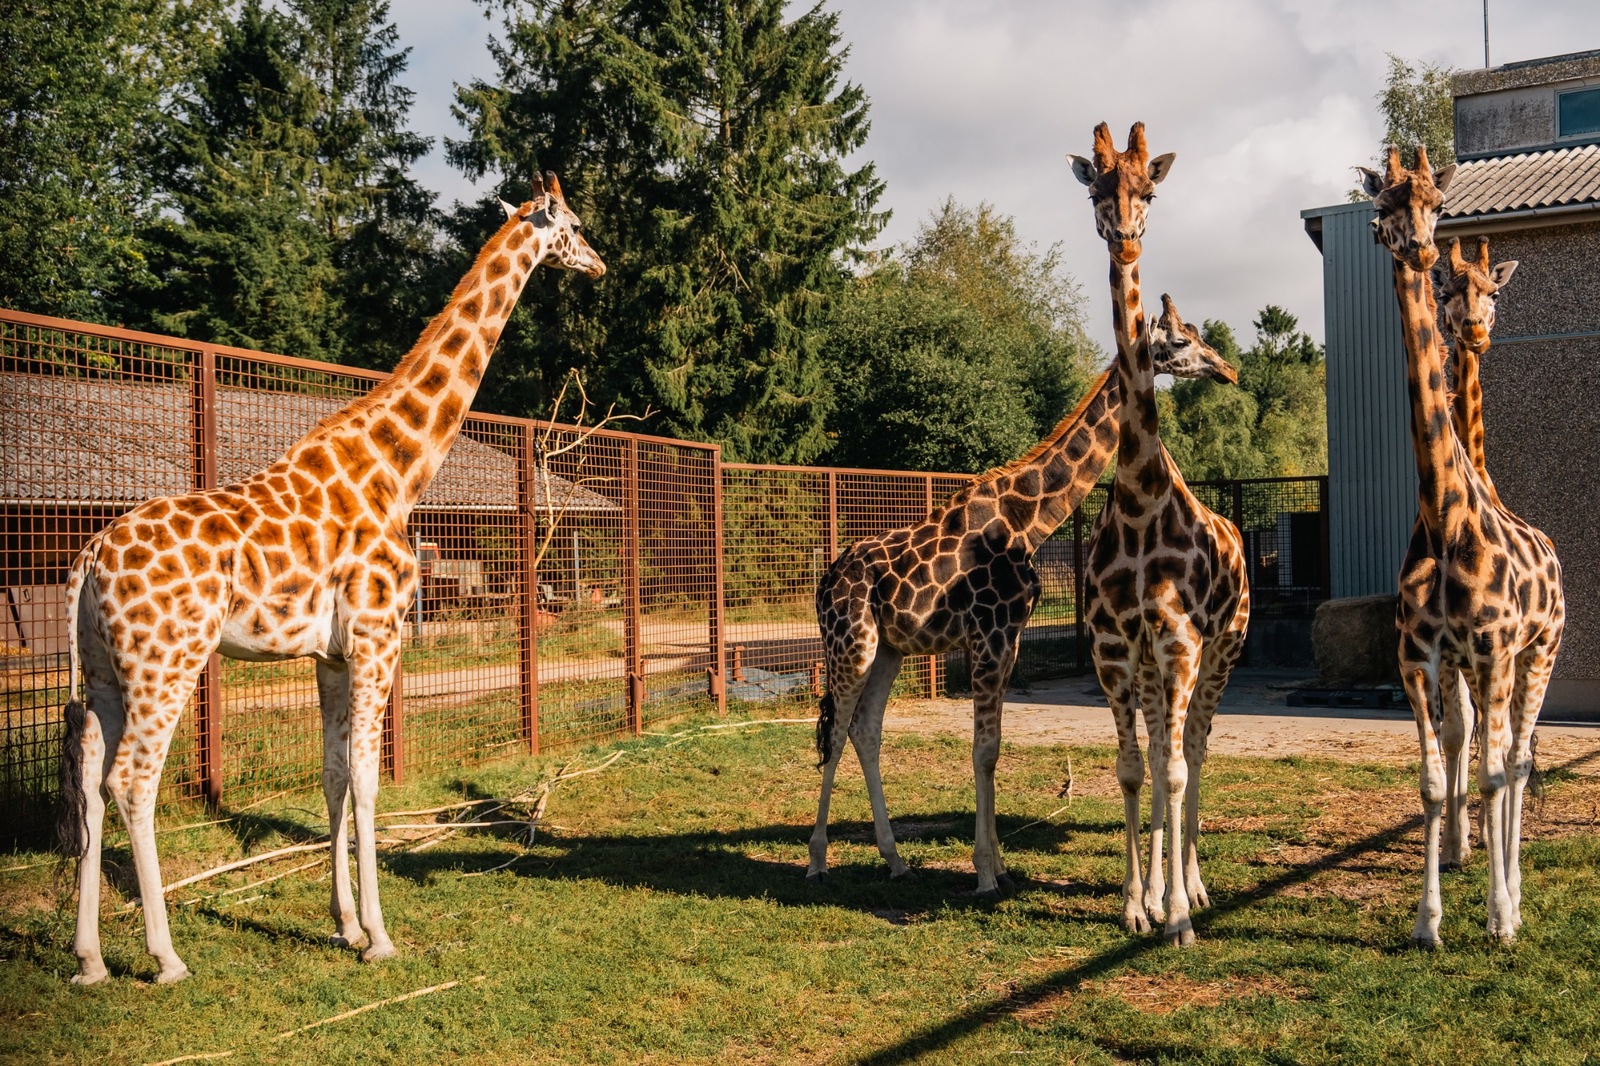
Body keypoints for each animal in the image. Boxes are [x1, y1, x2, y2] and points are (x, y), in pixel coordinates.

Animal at [56, 172, 604, 984]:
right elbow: (370, 778)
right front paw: (379, 935)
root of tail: (89, 554)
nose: (600, 264)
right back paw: (166, 957)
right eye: (569, 223)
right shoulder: (380, 638)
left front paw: (344, 924)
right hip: (167, 660)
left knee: (93, 782)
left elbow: (334, 775)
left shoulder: (331, 654)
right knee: (133, 782)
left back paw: (90, 958)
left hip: (102, 670)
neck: (399, 471)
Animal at [1357, 145, 1563, 946]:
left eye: (1437, 204)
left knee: (1520, 758)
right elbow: (1434, 770)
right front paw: (1429, 919)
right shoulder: (1421, 654)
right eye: (1383, 205)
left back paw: (1514, 897)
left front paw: (1501, 915)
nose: (1417, 247)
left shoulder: (1495, 649)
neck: (1446, 519)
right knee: (1487, 749)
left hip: (1538, 653)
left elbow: (1496, 768)